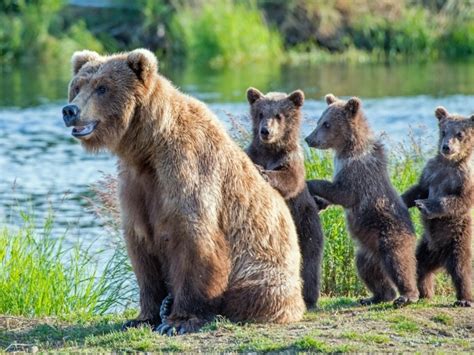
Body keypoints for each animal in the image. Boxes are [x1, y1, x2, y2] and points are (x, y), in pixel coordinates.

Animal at [62, 48, 304, 336]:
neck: (147, 147)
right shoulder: (135, 185)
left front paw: (179, 321)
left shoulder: (186, 169)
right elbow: (141, 248)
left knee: (254, 291)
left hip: (264, 266)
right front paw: (142, 316)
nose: (70, 110)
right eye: (77, 87)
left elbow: (194, 240)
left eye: (102, 87)